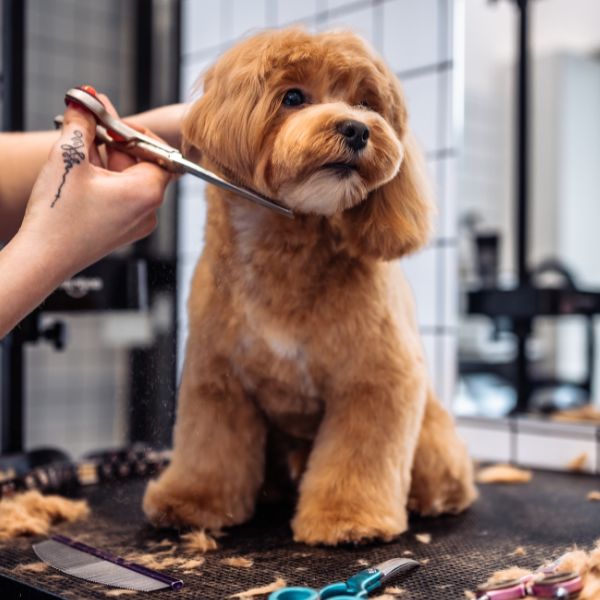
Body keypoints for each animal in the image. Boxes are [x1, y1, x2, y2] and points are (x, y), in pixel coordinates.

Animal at [143, 27, 476, 544]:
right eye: (293, 98)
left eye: (366, 103)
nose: (357, 129)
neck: (285, 252)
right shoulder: (217, 379)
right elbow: (209, 448)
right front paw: (192, 501)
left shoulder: (377, 379)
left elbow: (357, 457)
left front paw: (348, 518)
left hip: (431, 438)